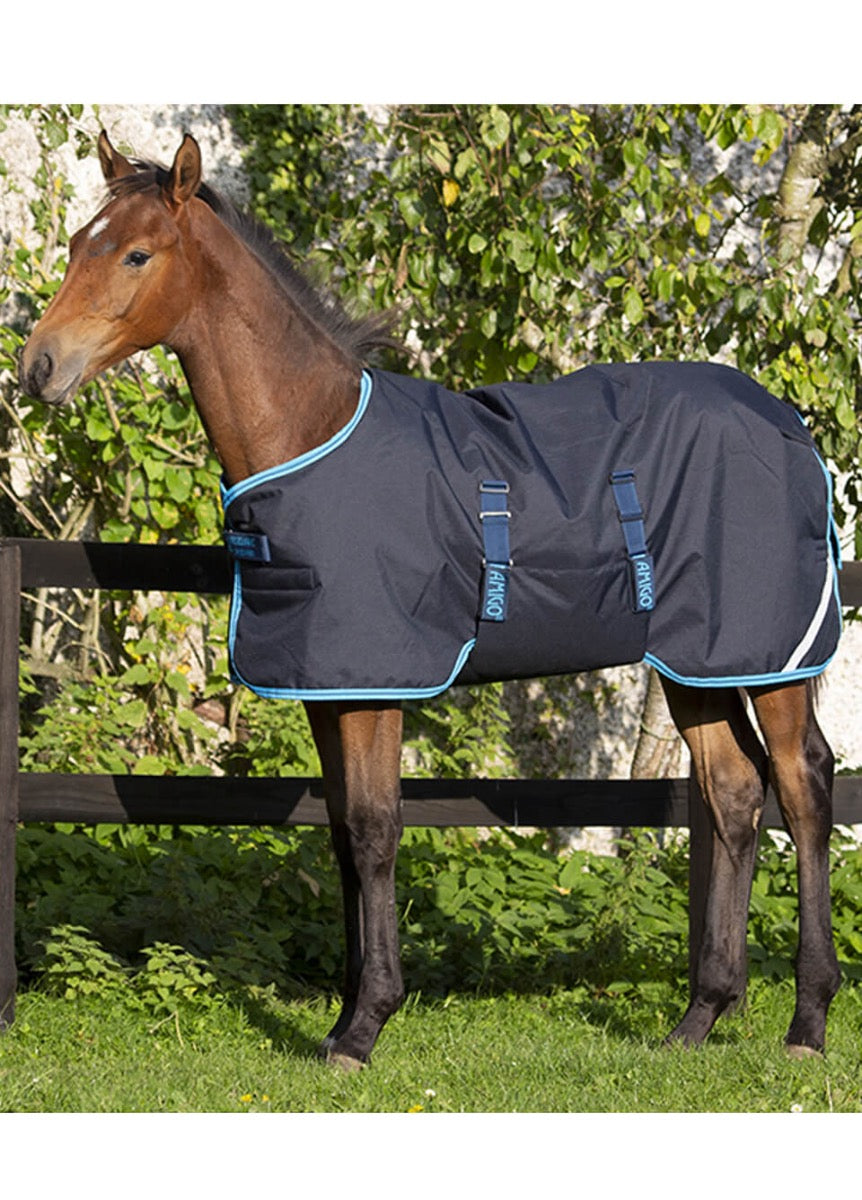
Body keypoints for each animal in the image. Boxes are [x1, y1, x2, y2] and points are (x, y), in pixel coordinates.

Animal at [18, 130, 842, 1070]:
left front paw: (366, 1025)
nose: (39, 367)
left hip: (771, 656)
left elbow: (377, 830)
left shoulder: (378, 686)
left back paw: (808, 1021)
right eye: (76, 243)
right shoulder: (329, 688)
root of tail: (790, 422)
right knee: (734, 794)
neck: (311, 432)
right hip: (696, 662)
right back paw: (699, 1018)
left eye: (136, 254)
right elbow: (342, 834)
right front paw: (343, 1017)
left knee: (803, 786)